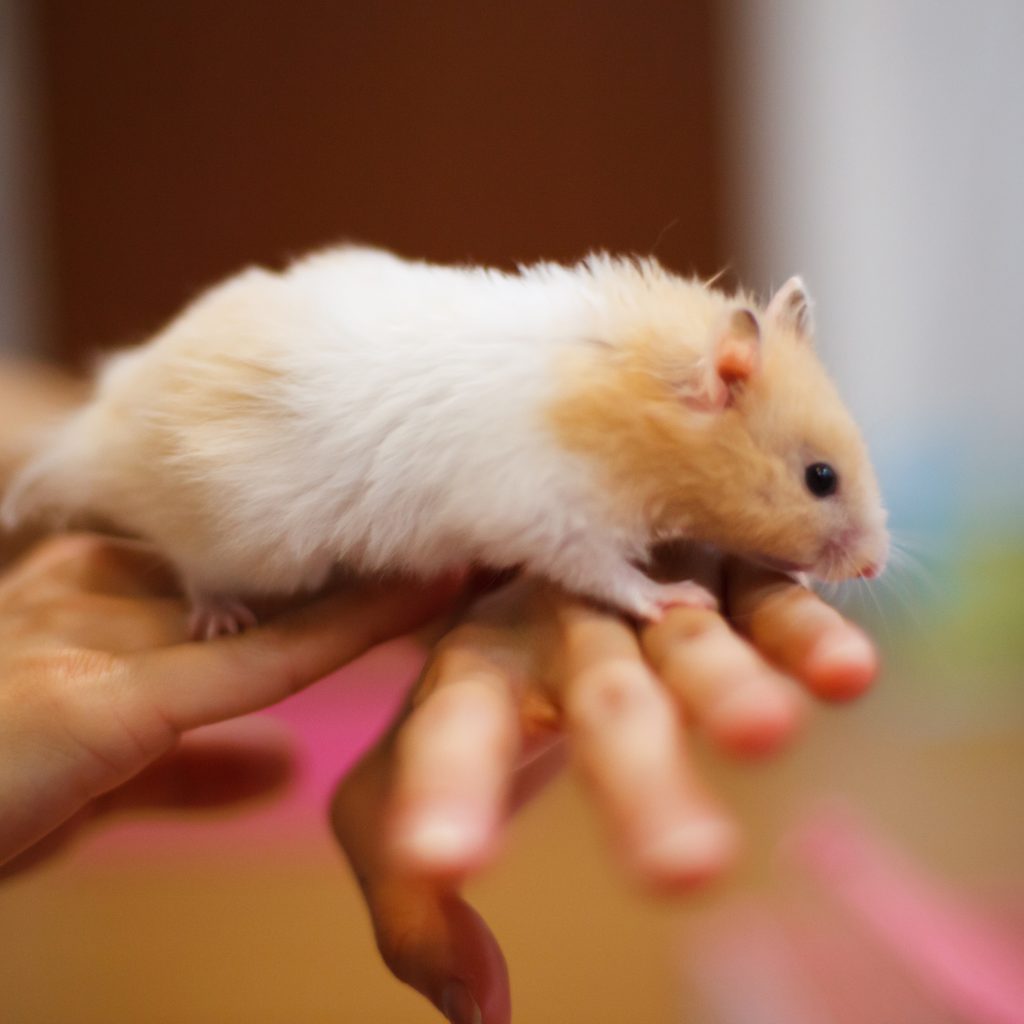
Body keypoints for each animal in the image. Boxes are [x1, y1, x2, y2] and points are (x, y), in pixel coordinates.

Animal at [2, 246, 888, 637]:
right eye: (820, 478)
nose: (876, 568)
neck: (631, 409)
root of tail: (95, 427)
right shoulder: (552, 519)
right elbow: (611, 577)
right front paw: (681, 599)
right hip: (241, 542)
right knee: (188, 565)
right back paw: (222, 620)